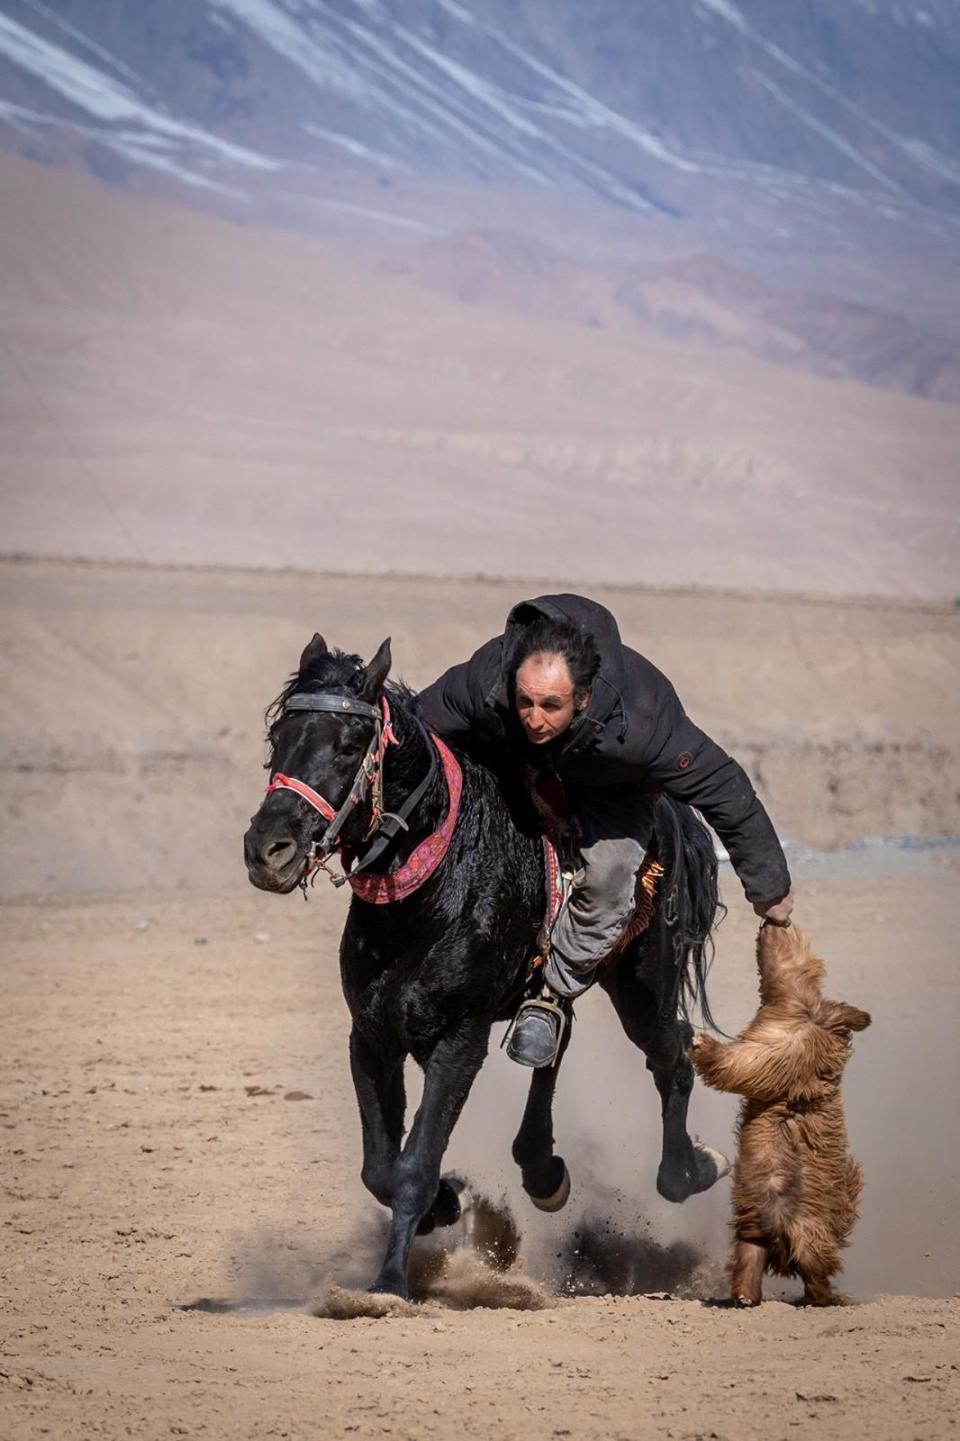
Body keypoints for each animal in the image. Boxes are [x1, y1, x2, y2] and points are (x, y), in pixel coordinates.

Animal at [243, 636, 720, 1302]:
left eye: (348, 746)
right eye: (278, 737)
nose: (267, 850)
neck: (435, 889)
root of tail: (674, 815)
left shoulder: (458, 1041)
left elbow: (413, 1164)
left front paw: (389, 1284)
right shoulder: (371, 1037)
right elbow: (380, 1167)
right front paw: (448, 1203)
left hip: (642, 986)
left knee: (671, 1050)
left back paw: (690, 1168)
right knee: (554, 1038)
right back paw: (543, 1169)